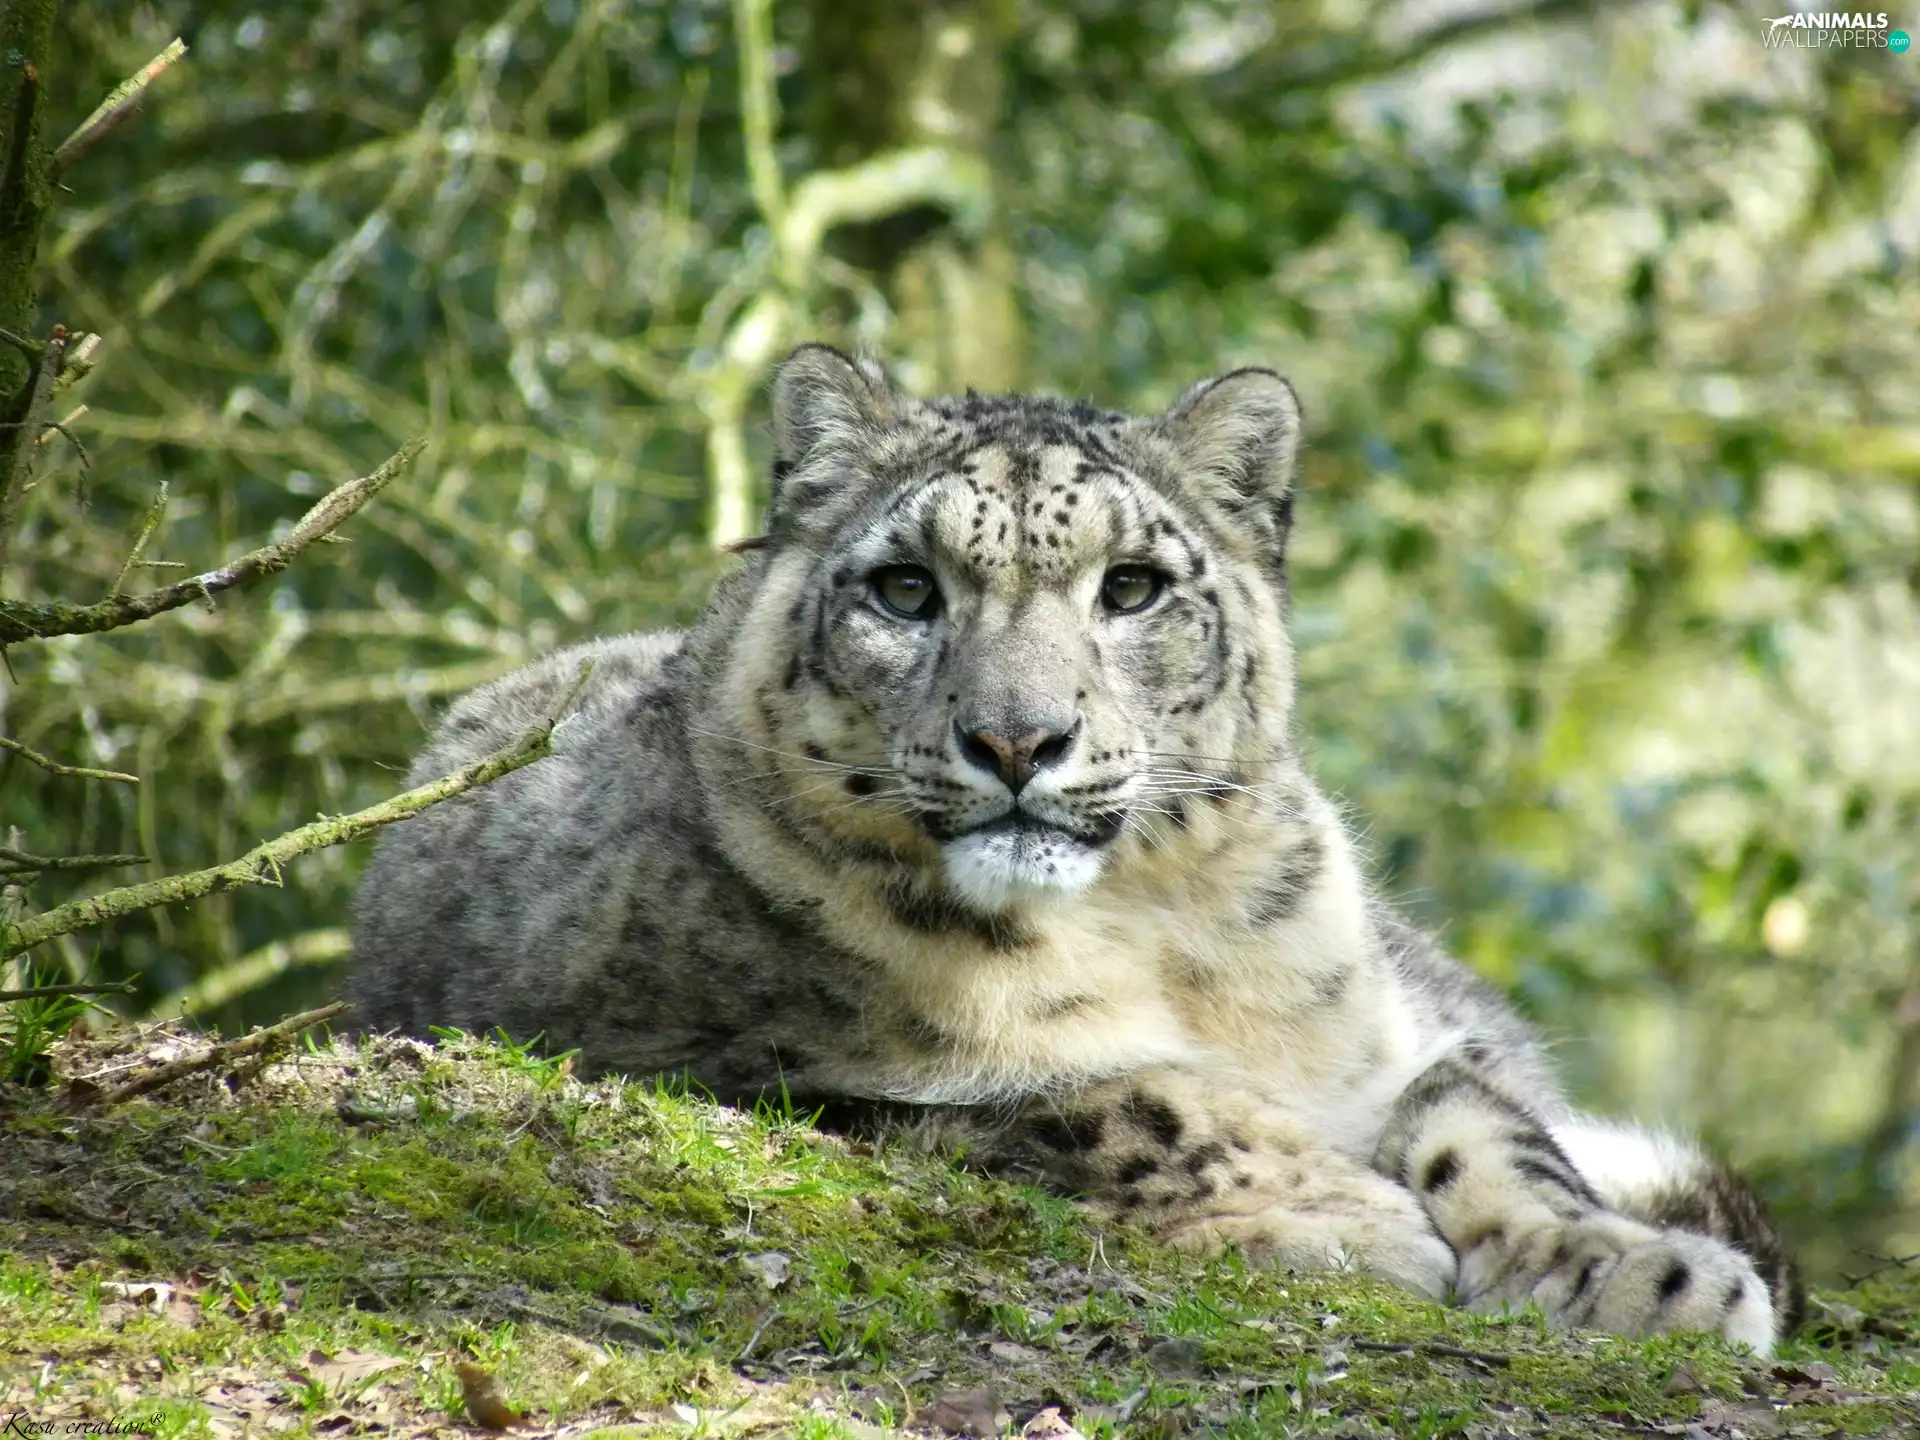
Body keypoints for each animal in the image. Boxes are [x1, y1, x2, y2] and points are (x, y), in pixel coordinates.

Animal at [350, 343, 1802, 1352]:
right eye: (905, 588)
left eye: (1134, 587)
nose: (1017, 739)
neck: (1167, 940)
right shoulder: (745, 1056)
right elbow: (1114, 1097)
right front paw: (1348, 1218)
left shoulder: (1396, 1039)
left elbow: (1495, 1131)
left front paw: (1635, 1271)